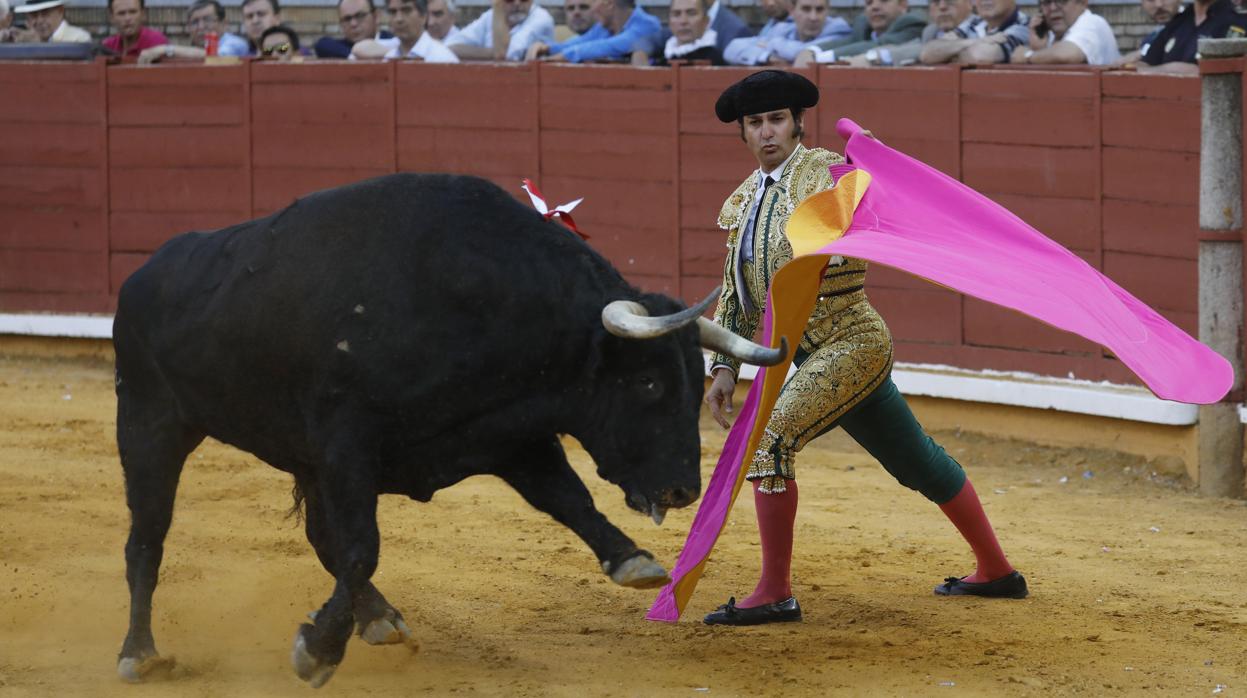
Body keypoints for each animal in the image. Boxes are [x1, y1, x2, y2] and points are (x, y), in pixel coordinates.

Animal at [114, 173, 778, 688]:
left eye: (694, 387)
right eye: (646, 383)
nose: (681, 491)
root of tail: (142, 275)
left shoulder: (508, 434)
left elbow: (568, 498)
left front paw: (632, 561)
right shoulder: (348, 446)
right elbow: (363, 546)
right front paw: (317, 651)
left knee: (320, 536)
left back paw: (379, 619)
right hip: (149, 423)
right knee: (148, 539)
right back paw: (138, 655)